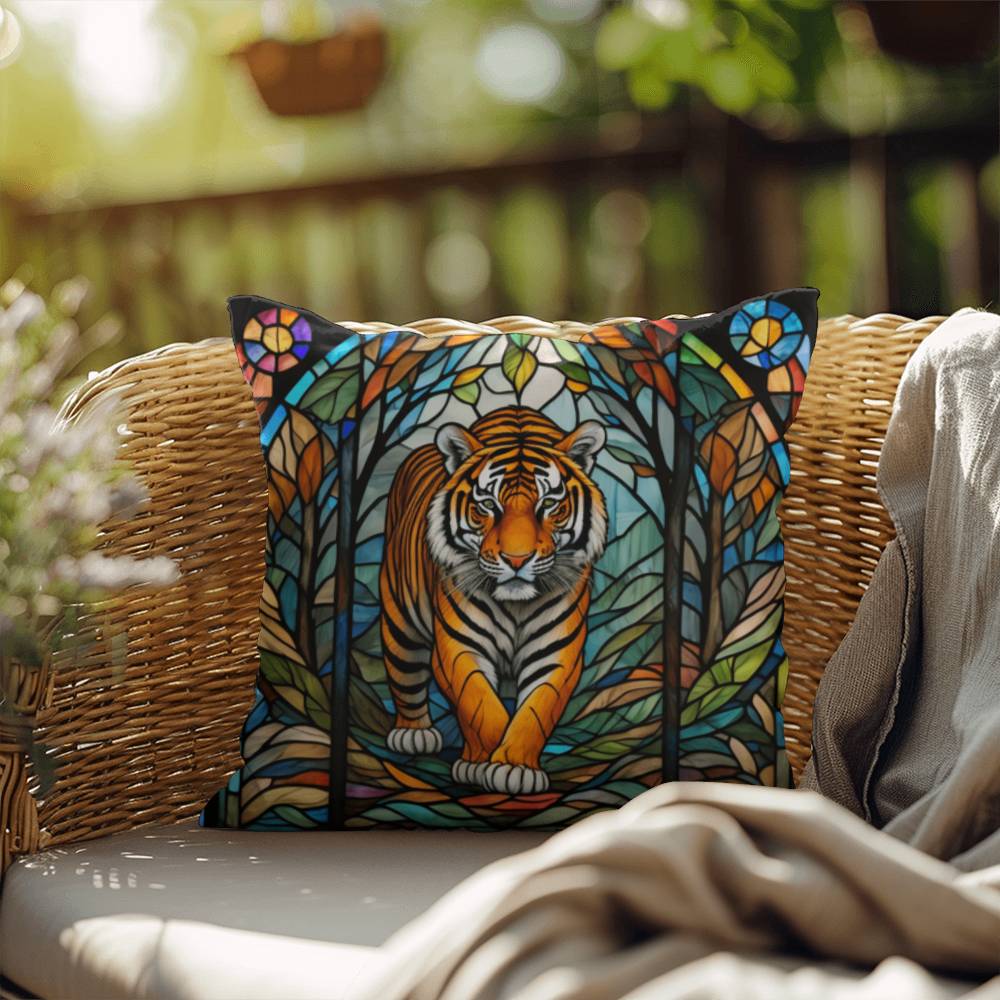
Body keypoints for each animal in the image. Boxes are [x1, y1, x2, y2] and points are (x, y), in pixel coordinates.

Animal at [378, 406, 608, 796]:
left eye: (549, 504)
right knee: (405, 673)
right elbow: (481, 705)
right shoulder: (459, 648)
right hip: (399, 621)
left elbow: (534, 711)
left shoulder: (556, 654)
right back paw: (413, 733)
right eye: (488, 505)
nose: (517, 559)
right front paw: (479, 765)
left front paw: (514, 766)